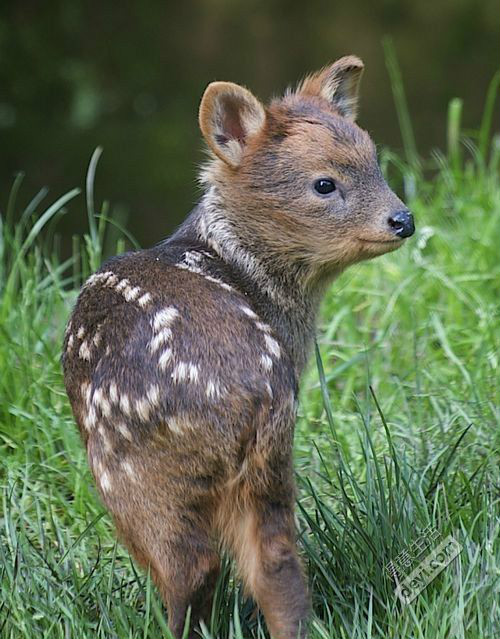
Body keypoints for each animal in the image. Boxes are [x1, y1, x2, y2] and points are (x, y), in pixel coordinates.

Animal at [61, 56, 414, 639]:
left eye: (375, 163)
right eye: (325, 183)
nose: (403, 220)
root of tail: (251, 396)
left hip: (132, 472)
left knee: (190, 565)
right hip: (270, 466)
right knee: (278, 563)